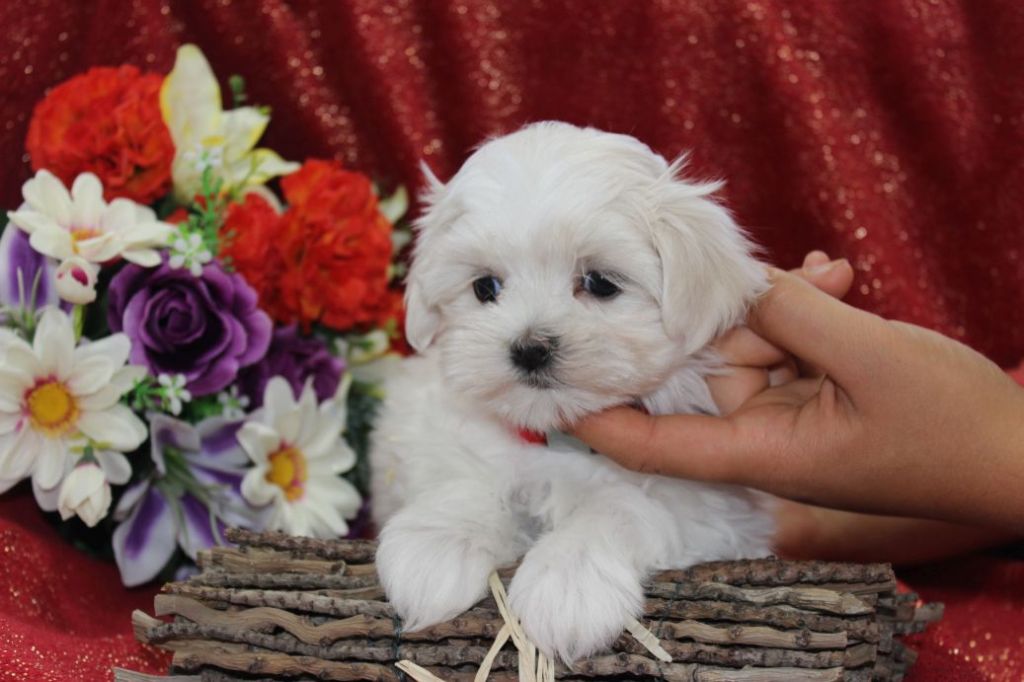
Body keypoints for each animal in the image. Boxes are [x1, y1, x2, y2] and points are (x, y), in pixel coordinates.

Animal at [372, 120, 770, 659]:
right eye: (485, 288)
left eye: (600, 282)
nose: (529, 348)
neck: (554, 437)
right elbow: (468, 477)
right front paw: (436, 547)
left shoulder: (708, 503)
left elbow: (621, 507)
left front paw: (568, 585)